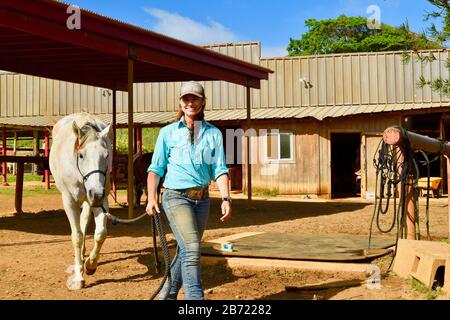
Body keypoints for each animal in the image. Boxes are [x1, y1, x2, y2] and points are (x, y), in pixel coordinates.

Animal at [48, 112, 112, 290]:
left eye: (106, 156)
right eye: (81, 155)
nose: (96, 193)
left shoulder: (102, 199)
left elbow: (100, 233)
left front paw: (90, 264)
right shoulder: (69, 201)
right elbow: (76, 236)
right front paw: (78, 277)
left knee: (84, 221)